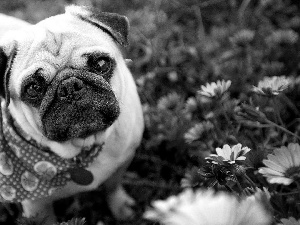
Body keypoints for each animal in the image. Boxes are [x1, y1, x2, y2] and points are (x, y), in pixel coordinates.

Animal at [0, 4, 144, 223]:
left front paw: (121, 208)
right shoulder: (38, 208)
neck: (83, 147)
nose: (69, 87)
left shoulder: (124, 160)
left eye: (101, 64)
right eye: (33, 88)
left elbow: (113, 187)